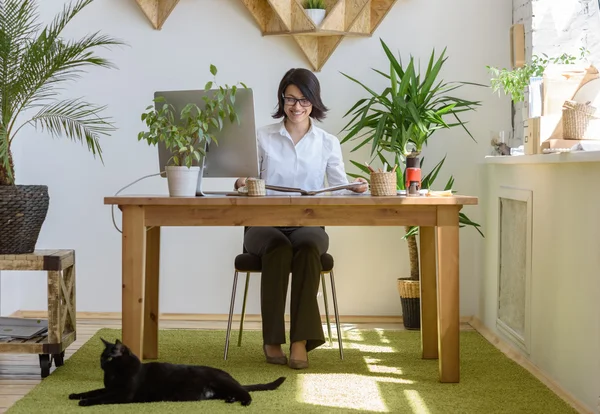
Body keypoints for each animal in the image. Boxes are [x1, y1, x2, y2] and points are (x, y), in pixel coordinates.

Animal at [69, 338, 284, 406]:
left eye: (109, 358)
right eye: (101, 356)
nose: (101, 363)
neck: (115, 374)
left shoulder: (123, 394)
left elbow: (101, 397)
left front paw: (84, 402)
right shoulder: (110, 388)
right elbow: (95, 391)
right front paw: (75, 394)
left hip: (223, 382)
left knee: (245, 392)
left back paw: (244, 402)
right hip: (221, 389)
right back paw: (230, 400)